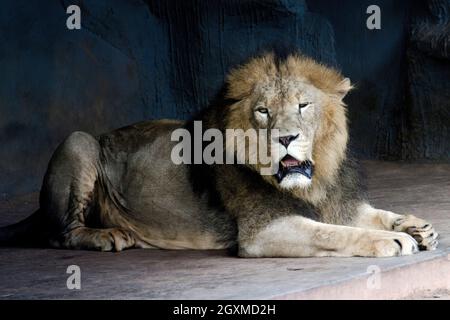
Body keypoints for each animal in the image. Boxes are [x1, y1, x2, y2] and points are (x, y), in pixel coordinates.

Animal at [0, 53, 438, 258]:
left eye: (303, 105)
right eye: (263, 111)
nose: (286, 138)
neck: (313, 181)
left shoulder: (340, 202)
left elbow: (374, 213)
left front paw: (416, 226)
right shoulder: (262, 231)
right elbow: (334, 232)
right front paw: (394, 240)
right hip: (78, 141)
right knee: (60, 234)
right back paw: (107, 235)